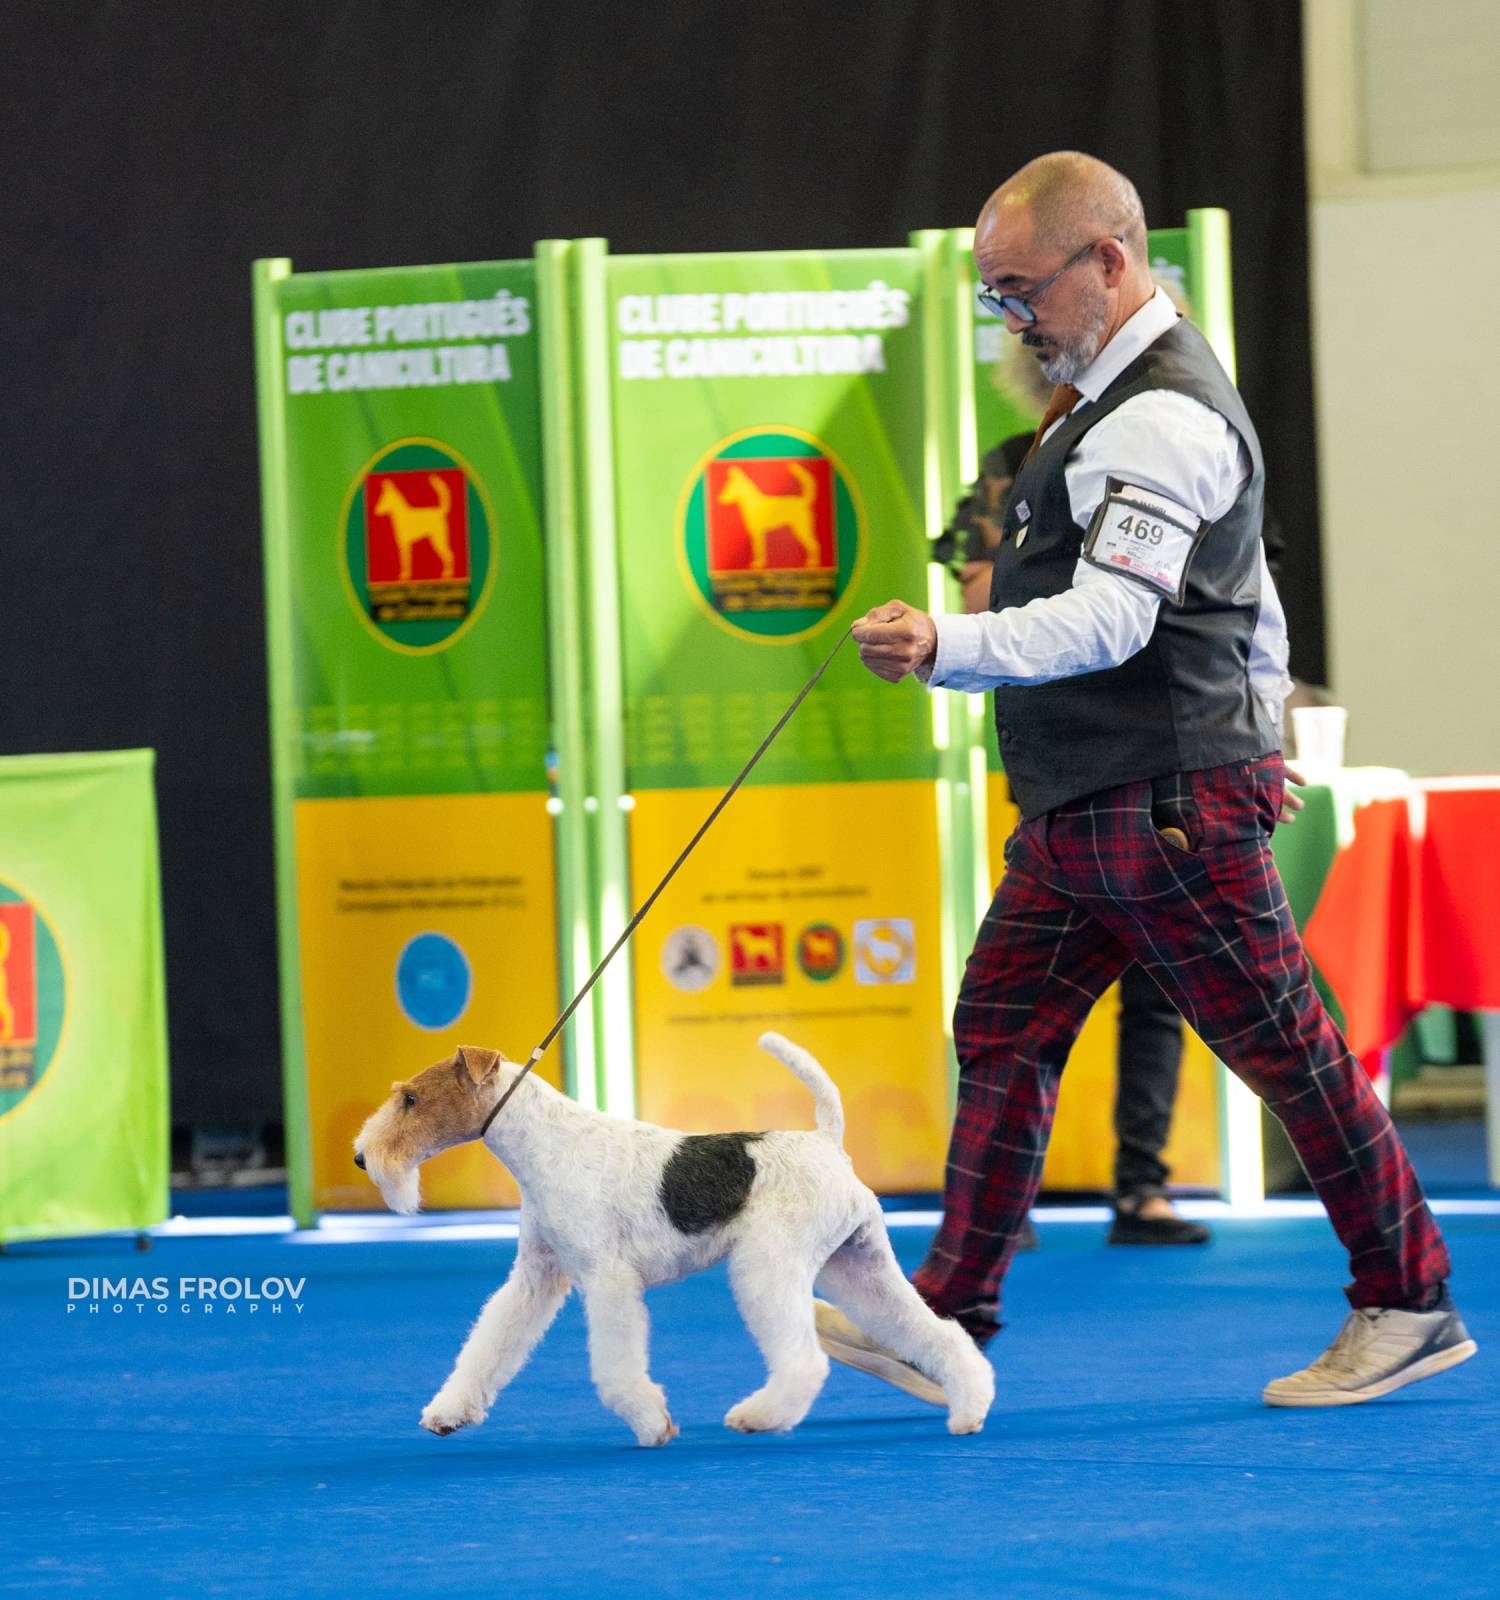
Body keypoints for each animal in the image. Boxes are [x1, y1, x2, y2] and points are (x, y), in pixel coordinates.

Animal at [353, 1033, 993, 1446]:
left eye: (411, 1098)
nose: (361, 1158)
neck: (544, 1143)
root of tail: (828, 1143)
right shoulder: (537, 1277)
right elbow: (487, 1346)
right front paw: (448, 1414)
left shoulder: (606, 1279)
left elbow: (616, 1368)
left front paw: (650, 1423)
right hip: (860, 1266)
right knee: (938, 1333)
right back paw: (968, 1408)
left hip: (768, 1268)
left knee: (806, 1360)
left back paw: (759, 1416)